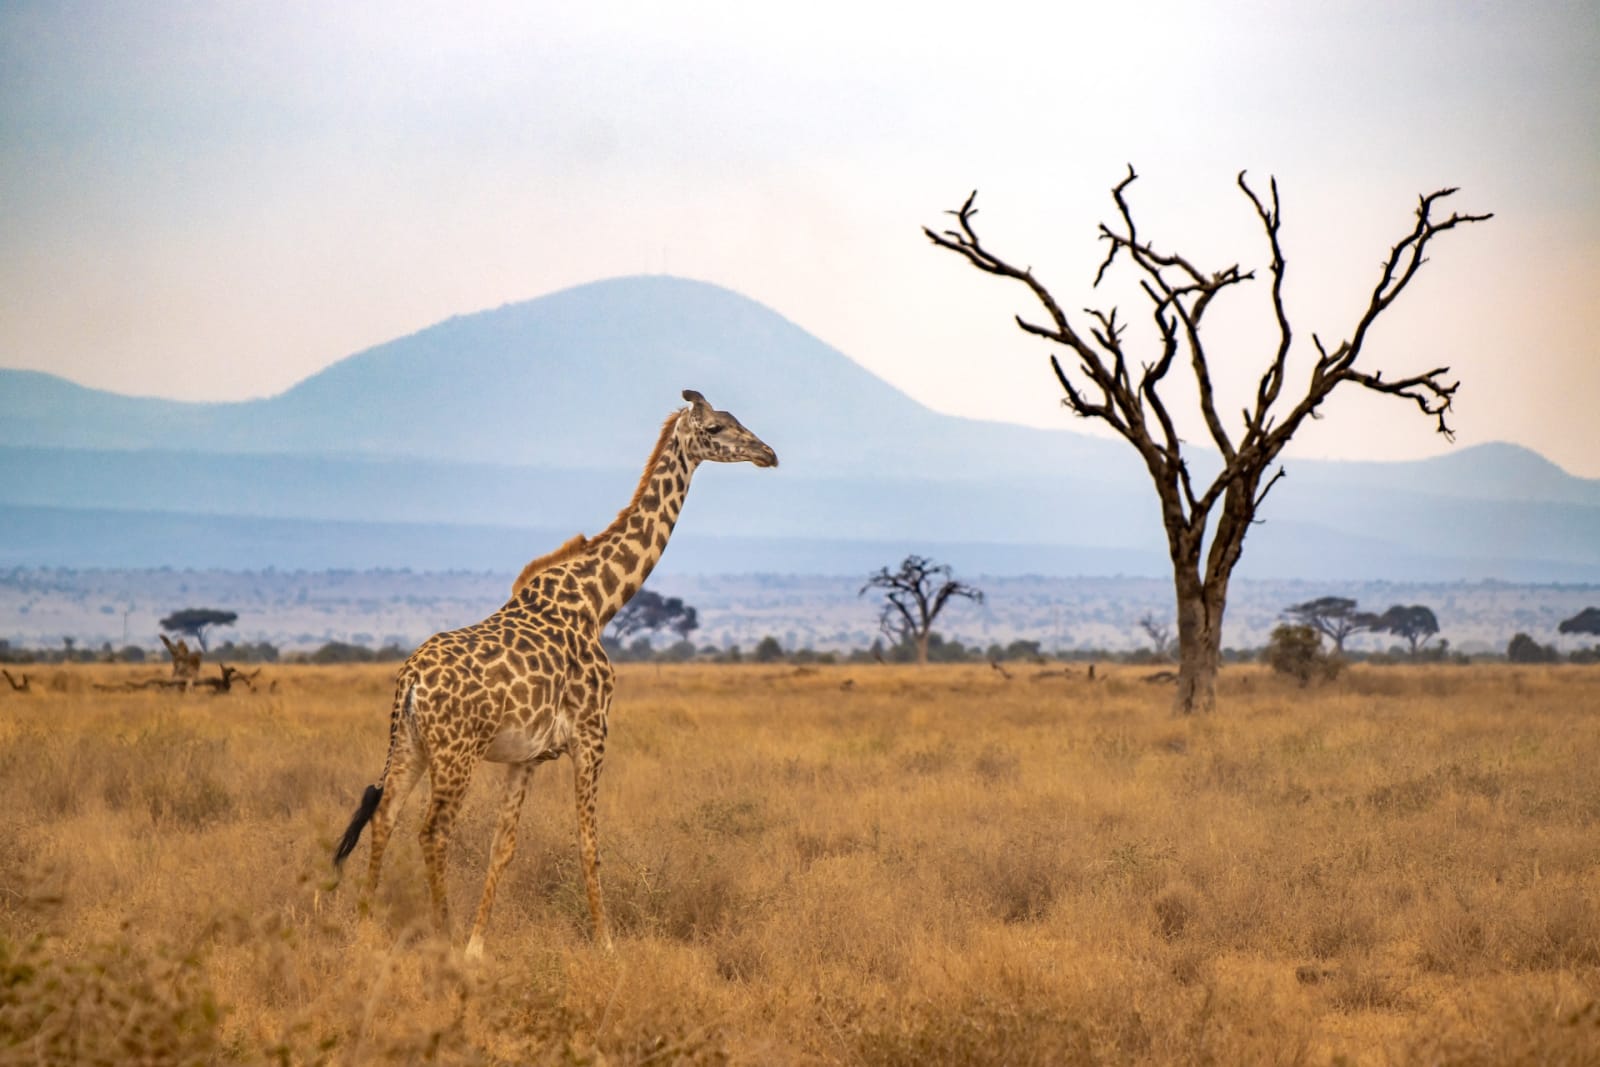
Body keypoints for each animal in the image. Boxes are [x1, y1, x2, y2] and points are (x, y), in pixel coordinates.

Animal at [333, 389, 776, 957]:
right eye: (717, 427)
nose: (768, 454)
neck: (598, 601)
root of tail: (411, 680)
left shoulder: (527, 757)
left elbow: (503, 846)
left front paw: (478, 946)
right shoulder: (592, 735)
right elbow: (589, 844)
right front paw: (606, 944)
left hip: (409, 744)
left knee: (385, 815)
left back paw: (367, 931)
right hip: (457, 754)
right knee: (433, 831)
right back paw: (442, 936)